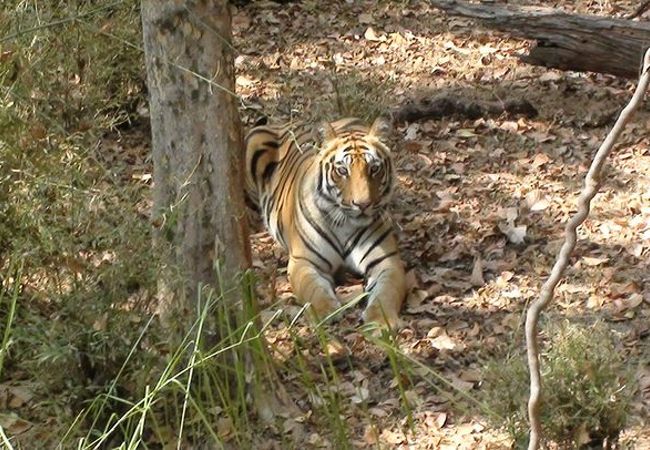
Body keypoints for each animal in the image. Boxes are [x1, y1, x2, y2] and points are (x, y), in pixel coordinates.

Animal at [244, 116, 404, 326]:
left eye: (374, 168)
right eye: (342, 170)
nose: (363, 204)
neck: (345, 224)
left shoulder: (388, 262)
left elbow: (387, 293)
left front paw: (380, 320)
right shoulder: (304, 262)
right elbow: (313, 290)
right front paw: (325, 311)